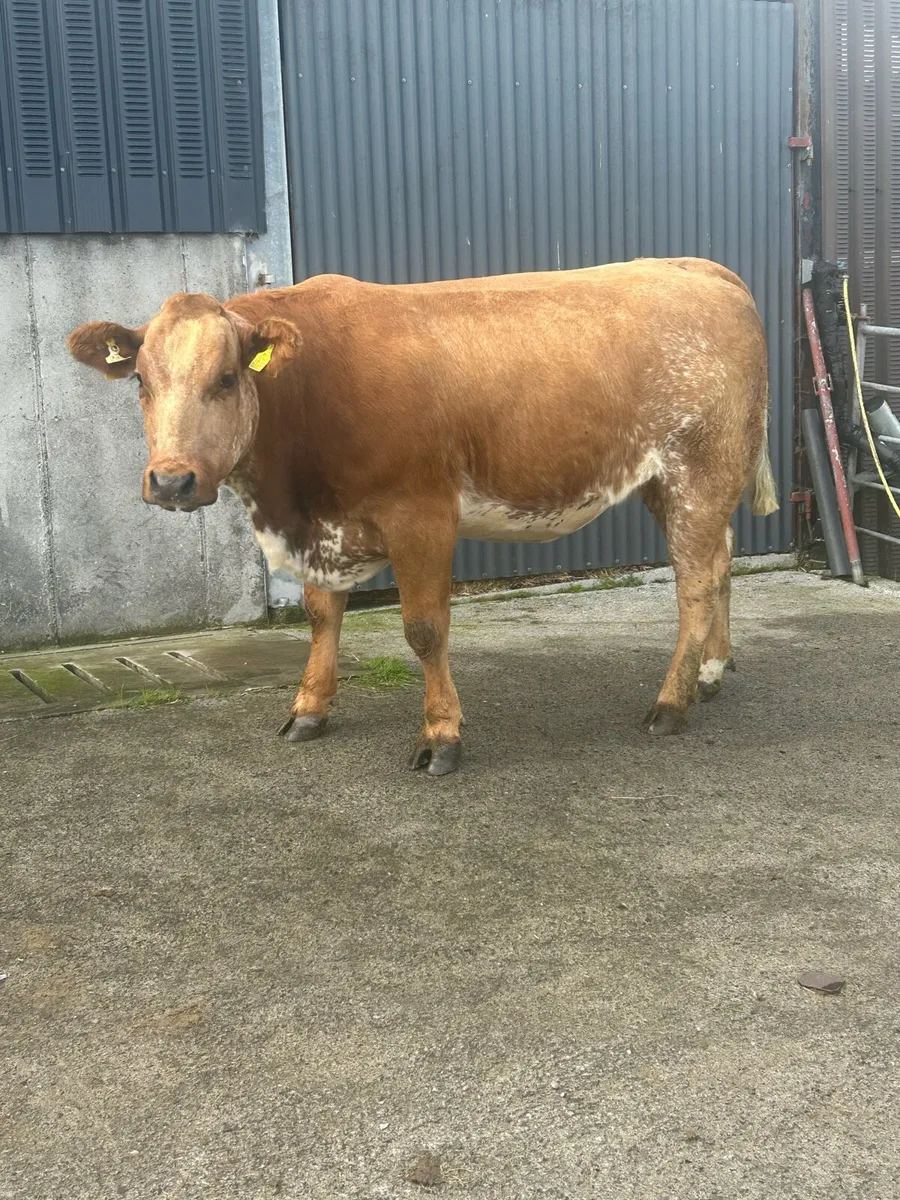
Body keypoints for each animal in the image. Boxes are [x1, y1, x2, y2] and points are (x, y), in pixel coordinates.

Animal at [68, 256, 777, 775]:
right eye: (140, 382)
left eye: (225, 378)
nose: (172, 480)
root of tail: (697, 267)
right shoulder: (325, 528)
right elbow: (322, 616)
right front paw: (310, 708)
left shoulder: (420, 515)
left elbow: (424, 630)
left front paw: (441, 736)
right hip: (672, 483)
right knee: (720, 562)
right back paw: (711, 672)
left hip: (699, 470)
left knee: (694, 584)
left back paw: (671, 702)